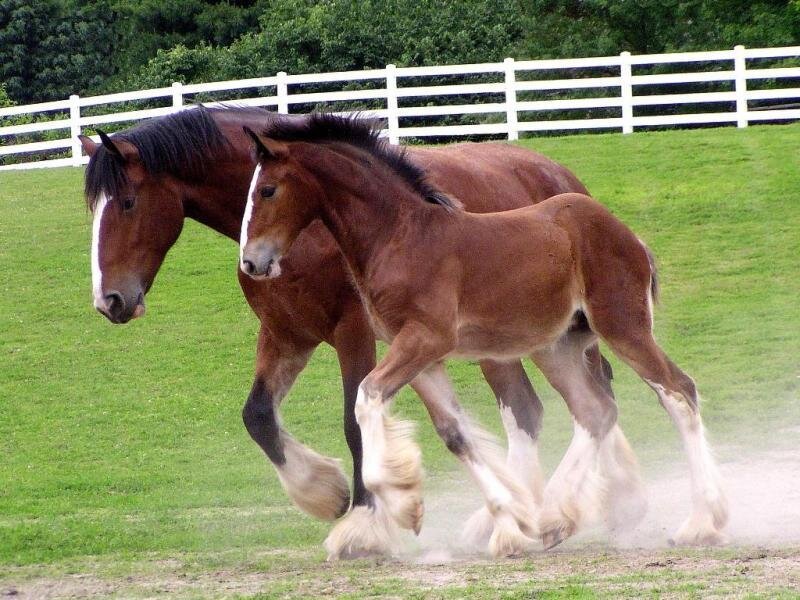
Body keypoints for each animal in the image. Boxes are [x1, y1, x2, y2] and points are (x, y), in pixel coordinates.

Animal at [80, 105, 634, 558]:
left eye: (127, 202)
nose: (110, 301)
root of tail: (560, 176)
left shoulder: (356, 334)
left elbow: (353, 421)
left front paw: (365, 523)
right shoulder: (286, 335)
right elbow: (258, 416)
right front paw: (324, 492)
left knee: (561, 402)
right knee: (551, 404)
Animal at [239, 113, 729, 553]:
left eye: (268, 189)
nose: (251, 262)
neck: (400, 236)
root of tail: (628, 234)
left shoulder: (424, 339)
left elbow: (367, 398)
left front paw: (401, 508)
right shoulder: (421, 356)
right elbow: (456, 434)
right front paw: (508, 524)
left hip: (623, 327)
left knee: (678, 392)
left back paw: (701, 523)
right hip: (558, 347)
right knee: (596, 410)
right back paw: (552, 517)